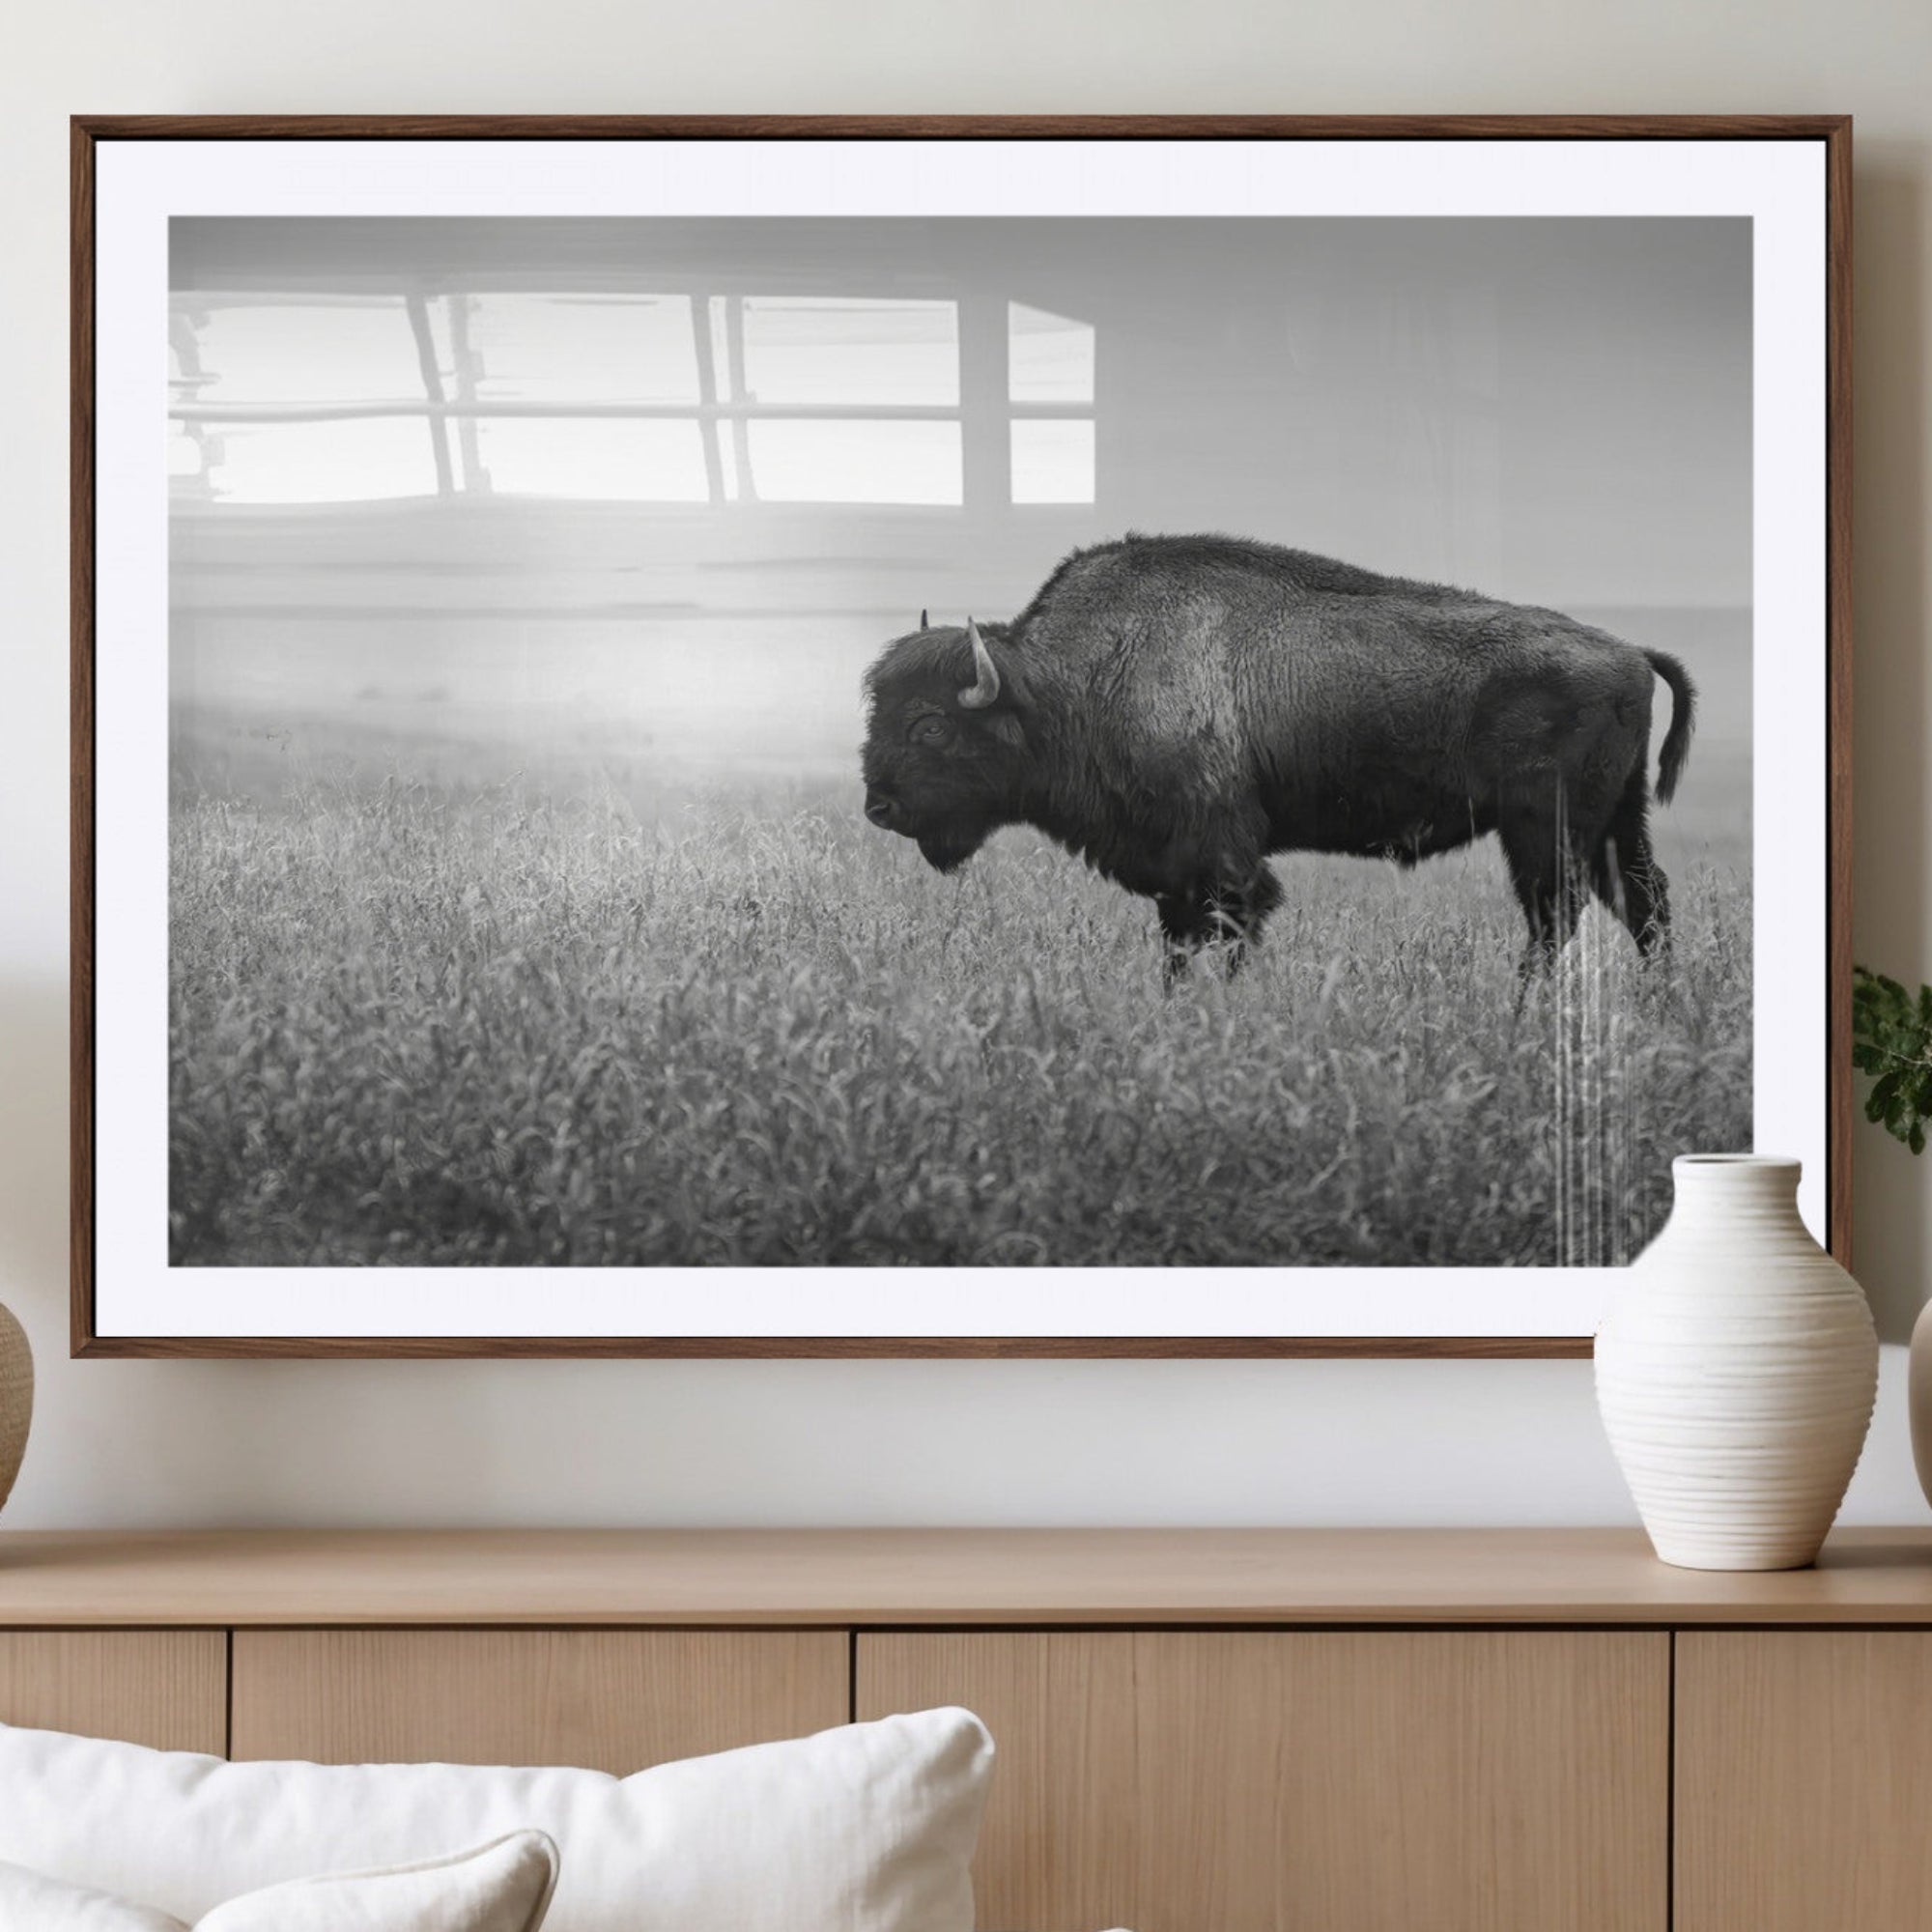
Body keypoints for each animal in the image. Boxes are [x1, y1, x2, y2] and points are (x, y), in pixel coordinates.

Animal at [861, 534, 1696, 980]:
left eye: (931, 726)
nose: (879, 807)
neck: (1068, 683)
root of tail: (1629, 652)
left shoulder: (1224, 861)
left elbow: (1229, 932)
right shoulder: (1175, 873)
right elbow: (1178, 945)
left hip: (1543, 829)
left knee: (1556, 917)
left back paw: (1524, 1012)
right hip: (1616, 821)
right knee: (1643, 903)